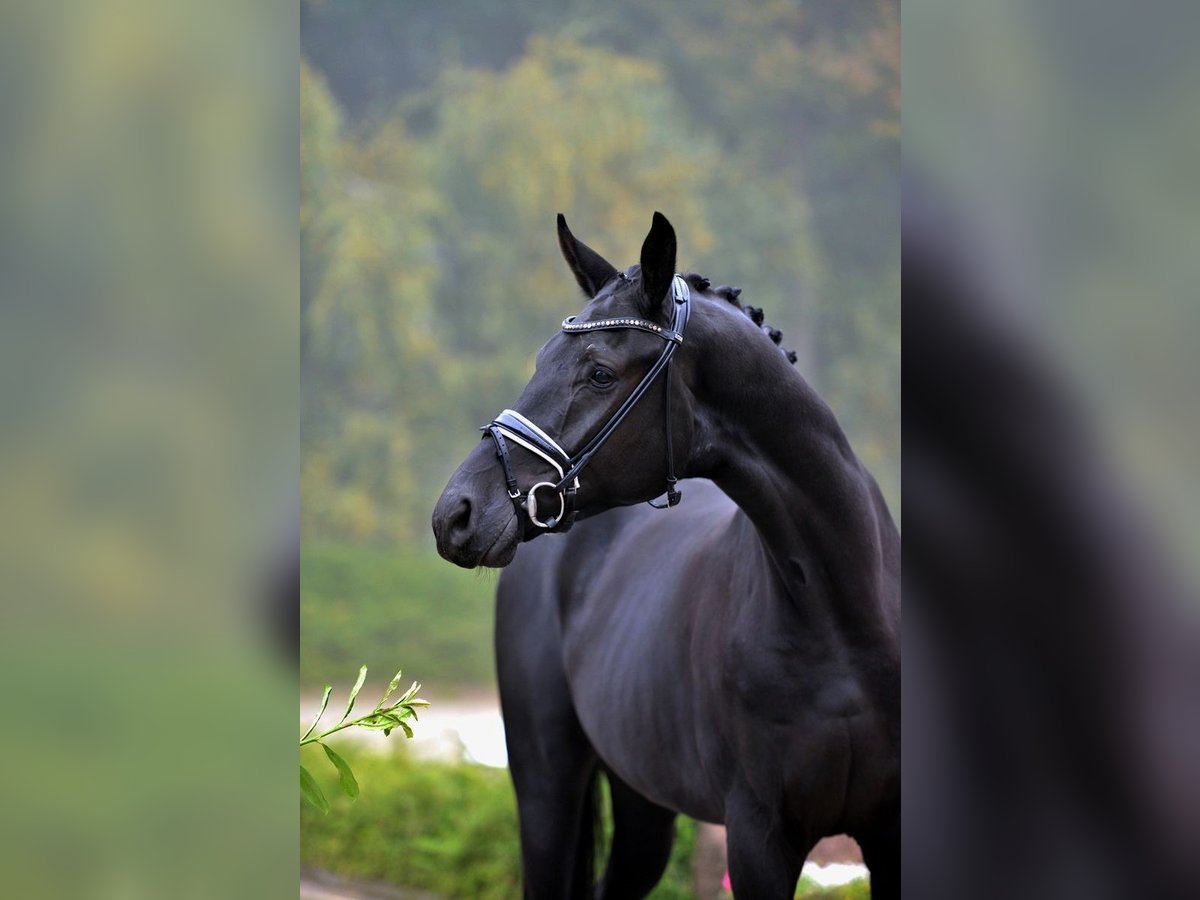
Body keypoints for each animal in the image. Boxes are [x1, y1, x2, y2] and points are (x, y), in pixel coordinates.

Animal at [434, 214, 902, 897]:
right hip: (546, 786)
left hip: (643, 807)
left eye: (600, 372)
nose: (456, 513)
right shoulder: (759, 837)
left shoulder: (889, 836)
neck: (840, 618)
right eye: (541, 358)